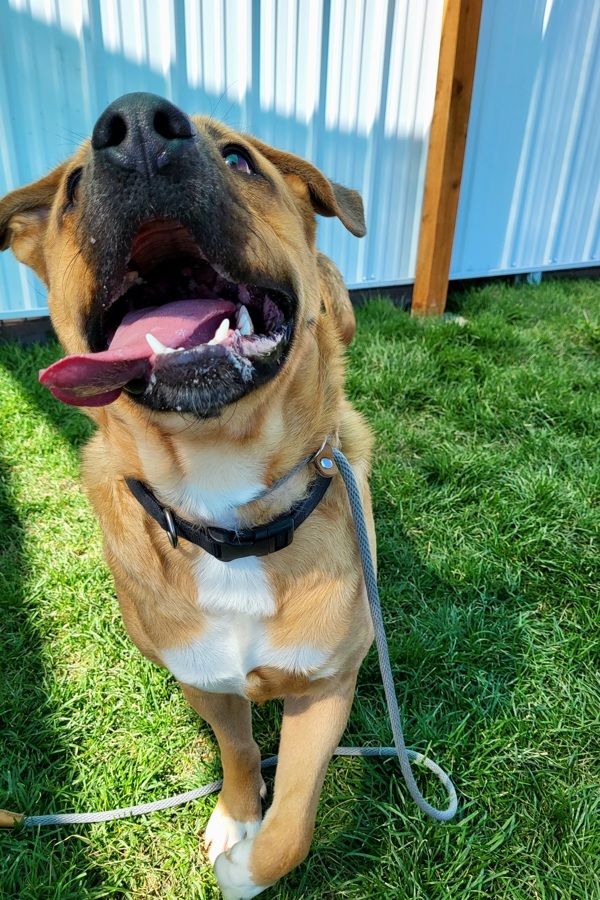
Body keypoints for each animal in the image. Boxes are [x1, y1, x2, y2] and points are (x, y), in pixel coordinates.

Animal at [0, 95, 376, 896]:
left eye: (239, 158)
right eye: (73, 185)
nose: (138, 126)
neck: (225, 508)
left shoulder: (329, 683)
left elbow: (292, 827)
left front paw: (244, 869)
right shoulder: (206, 682)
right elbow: (239, 754)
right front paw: (235, 815)